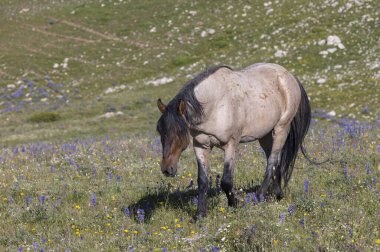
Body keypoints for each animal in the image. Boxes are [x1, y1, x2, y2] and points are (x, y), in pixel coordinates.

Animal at [156, 62, 310, 217]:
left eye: (180, 132)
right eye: (160, 131)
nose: (167, 169)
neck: (215, 105)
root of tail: (289, 76)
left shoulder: (231, 144)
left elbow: (226, 181)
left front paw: (234, 204)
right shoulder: (201, 146)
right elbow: (203, 180)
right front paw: (200, 214)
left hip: (281, 129)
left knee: (272, 161)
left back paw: (259, 196)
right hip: (265, 135)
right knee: (275, 161)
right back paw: (278, 195)